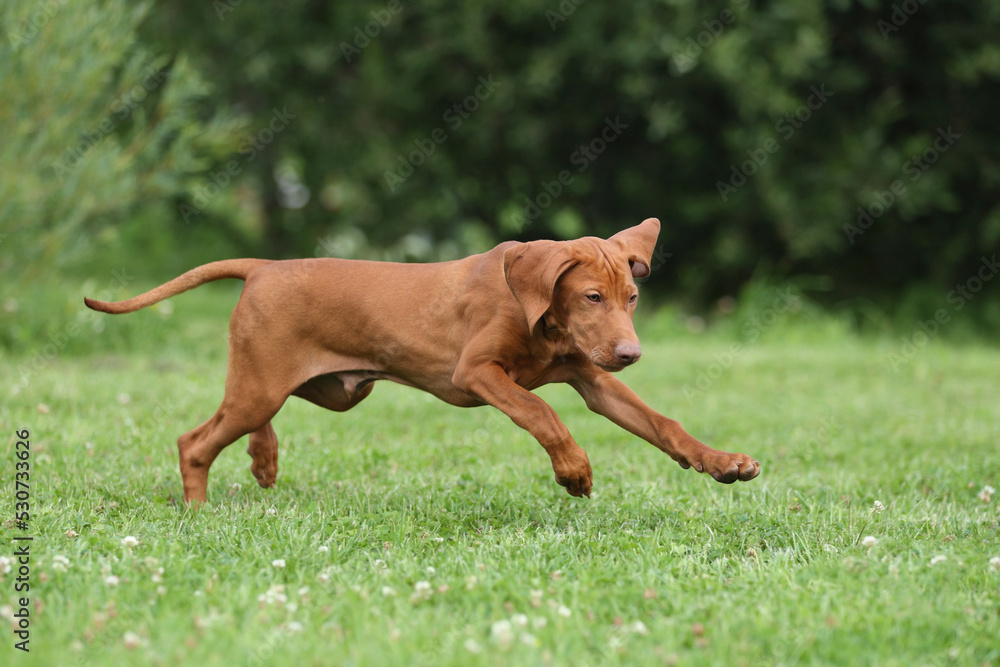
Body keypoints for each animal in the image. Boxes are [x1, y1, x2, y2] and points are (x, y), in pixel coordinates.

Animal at [86, 217, 756, 504]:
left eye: (632, 298)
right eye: (592, 297)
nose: (630, 353)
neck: (538, 311)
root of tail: (263, 268)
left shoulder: (592, 377)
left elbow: (663, 425)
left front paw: (723, 463)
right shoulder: (479, 373)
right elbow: (541, 413)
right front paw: (574, 472)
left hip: (317, 387)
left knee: (245, 419)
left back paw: (263, 459)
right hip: (267, 383)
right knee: (195, 441)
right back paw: (199, 510)